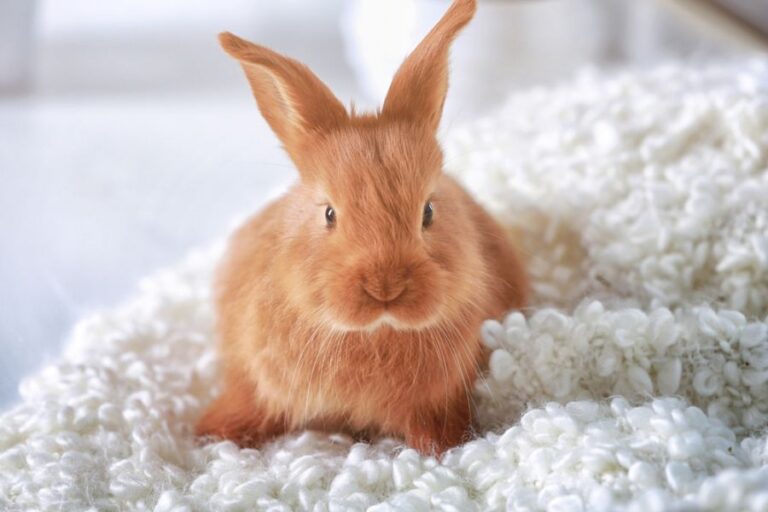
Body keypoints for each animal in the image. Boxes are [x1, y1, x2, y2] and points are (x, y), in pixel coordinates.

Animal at [196, 0, 527, 455]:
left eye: (428, 211)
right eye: (329, 214)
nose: (385, 286)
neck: (371, 334)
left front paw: (443, 448)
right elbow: (251, 402)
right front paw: (212, 433)